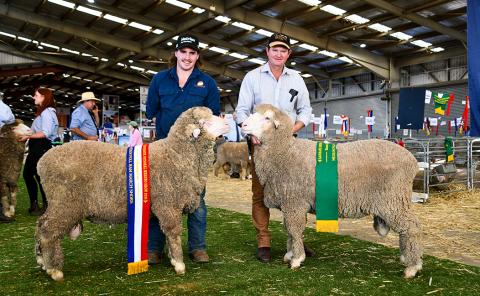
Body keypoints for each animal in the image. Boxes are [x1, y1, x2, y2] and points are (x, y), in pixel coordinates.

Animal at [34, 106, 229, 280]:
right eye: (205, 121)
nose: (227, 123)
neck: (176, 155)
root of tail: (42, 162)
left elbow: (168, 234)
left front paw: (174, 260)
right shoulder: (168, 204)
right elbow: (173, 233)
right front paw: (179, 264)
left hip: (57, 203)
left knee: (40, 225)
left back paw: (42, 261)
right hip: (65, 203)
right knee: (48, 231)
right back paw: (54, 270)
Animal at [242, 104, 422, 280]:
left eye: (267, 117)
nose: (242, 125)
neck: (284, 151)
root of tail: (412, 161)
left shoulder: (294, 202)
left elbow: (294, 230)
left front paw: (297, 259)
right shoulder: (291, 204)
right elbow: (289, 230)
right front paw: (290, 254)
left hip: (393, 200)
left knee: (411, 227)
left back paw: (413, 266)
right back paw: (407, 258)